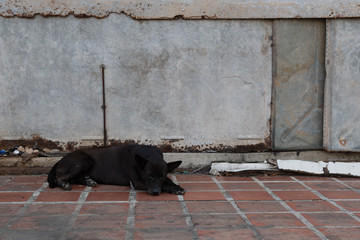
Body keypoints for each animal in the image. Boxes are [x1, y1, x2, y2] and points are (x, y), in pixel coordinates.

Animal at [47, 144, 186, 195]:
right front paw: (173, 189)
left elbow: (168, 180)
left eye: (161, 177)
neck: (149, 154)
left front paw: (176, 186)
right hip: (84, 161)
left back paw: (88, 180)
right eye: (149, 177)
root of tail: (60, 160)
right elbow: (165, 185)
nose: (156, 192)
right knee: (59, 178)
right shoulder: (138, 183)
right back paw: (64, 184)